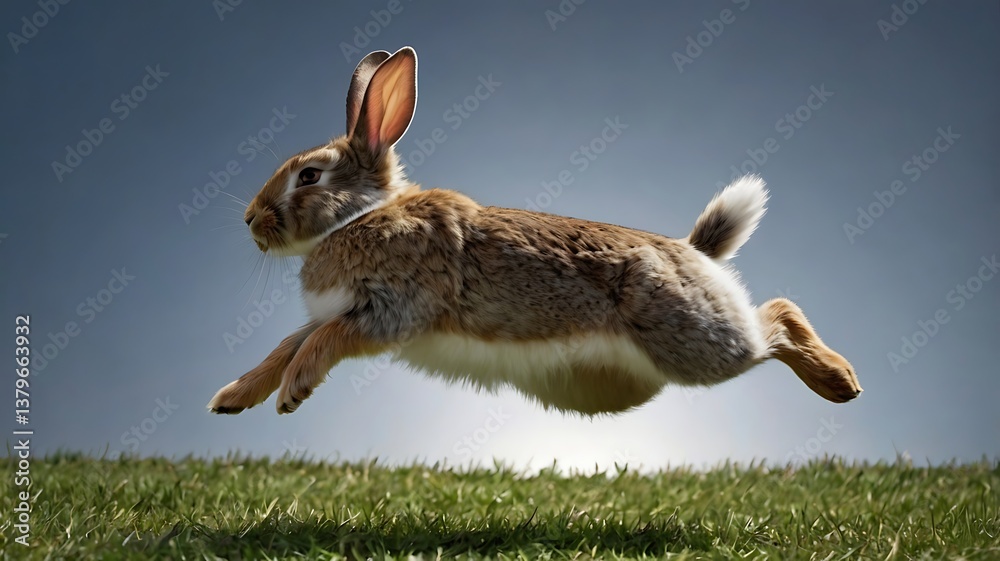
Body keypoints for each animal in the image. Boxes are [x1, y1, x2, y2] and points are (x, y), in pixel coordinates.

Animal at [208, 47, 861, 416]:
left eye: (309, 176)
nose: (249, 220)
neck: (361, 216)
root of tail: (695, 253)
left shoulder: (388, 310)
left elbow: (321, 343)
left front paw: (293, 394)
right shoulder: (336, 310)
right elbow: (284, 346)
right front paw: (233, 398)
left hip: (693, 339)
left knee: (775, 318)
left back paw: (841, 381)